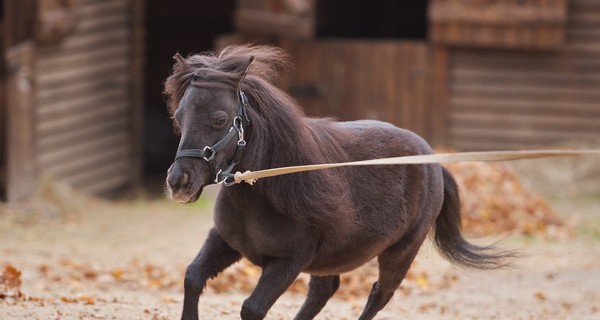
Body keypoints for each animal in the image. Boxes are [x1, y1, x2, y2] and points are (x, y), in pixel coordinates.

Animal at [164, 45, 510, 320]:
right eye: (179, 116)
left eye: (219, 119)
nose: (178, 181)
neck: (267, 189)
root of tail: (434, 161)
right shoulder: (225, 240)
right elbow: (192, 277)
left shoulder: (288, 262)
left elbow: (251, 308)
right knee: (324, 291)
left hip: (400, 254)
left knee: (378, 295)